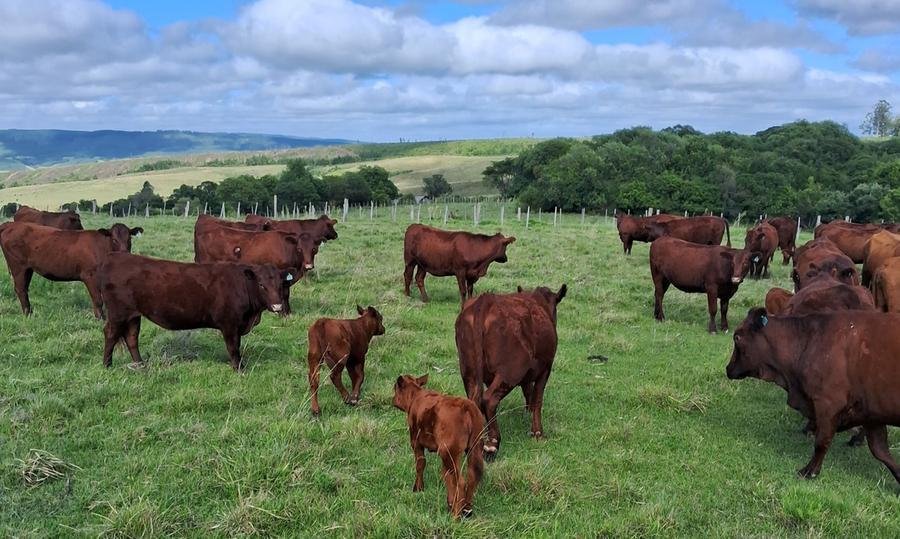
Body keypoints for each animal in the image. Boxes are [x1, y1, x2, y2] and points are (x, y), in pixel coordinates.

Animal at [0, 222, 142, 318]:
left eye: (129, 238)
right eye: (114, 239)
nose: (125, 254)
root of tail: (11, 224)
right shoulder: (89, 276)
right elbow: (97, 300)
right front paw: (100, 318)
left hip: (28, 269)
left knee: (24, 289)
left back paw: (30, 311)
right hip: (18, 266)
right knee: (20, 289)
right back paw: (27, 314)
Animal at [98, 252, 294, 371]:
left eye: (280, 284)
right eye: (261, 285)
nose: (277, 306)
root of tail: (114, 256)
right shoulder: (230, 324)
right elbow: (233, 347)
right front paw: (238, 368)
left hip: (133, 315)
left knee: (131, 337)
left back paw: (140, 364)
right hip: (118, 314)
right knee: (111, 334)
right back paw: (107, 365)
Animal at [392, 374, 484, 519]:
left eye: (395, 388)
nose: (393, 400)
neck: (416, 396)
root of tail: (467, 406)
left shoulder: (415, 442)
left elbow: (420, 464)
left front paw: (418, 488)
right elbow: (445, 475)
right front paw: (450, 502)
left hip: (449, 452)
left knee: (460, 481)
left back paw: (456, 516)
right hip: (474, 448)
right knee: (472, 476)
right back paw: (467, 510)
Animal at [455, 284, 566, 460]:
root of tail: (485, 301)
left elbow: (528, 392)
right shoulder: (545, 369)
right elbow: (537, 399)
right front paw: (537, 433)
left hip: (468, 372)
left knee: (473, 400)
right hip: (509, 372)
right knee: (489, 399)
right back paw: (492, 443)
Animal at [726, 308, 900, 484]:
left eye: (737, 337)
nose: (727, 368)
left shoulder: (828, 404)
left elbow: (821, 442)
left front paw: (810, 471)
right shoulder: (872, 413)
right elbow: (881, 451)